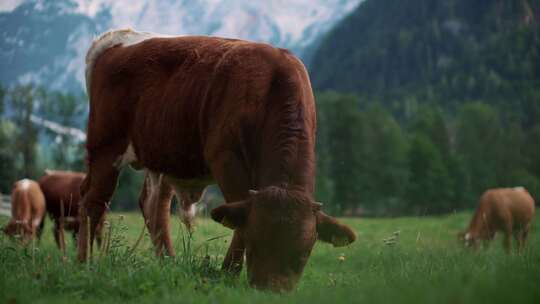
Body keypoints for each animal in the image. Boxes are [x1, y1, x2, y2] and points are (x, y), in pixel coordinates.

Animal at [78, 29, 356, 292]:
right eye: (255, 245)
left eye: (303, 254)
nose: (271, 291)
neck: (272, 86)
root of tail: (118, 38)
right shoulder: (226, 160)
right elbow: (239, 218)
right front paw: (228, 274)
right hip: (105, 146)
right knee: (93, 202)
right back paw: (84, 264)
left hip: (161, 157)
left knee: (153, 206)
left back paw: (168, 263)